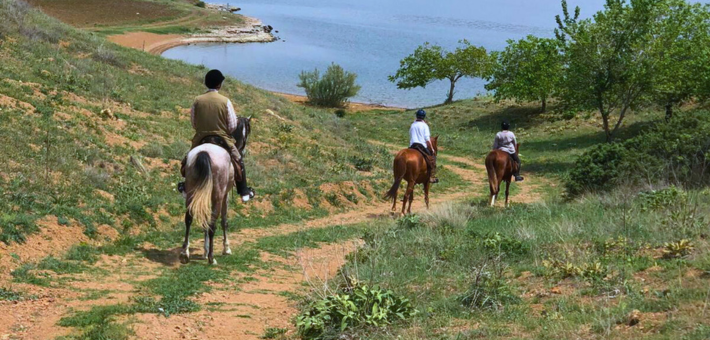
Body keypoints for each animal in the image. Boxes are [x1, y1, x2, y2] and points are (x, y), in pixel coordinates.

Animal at [179, 115, 252, 264]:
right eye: (247, 130)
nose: (243, 151)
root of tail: (204, 152)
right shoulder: (225, 196)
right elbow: (224, 221)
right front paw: (226, 249)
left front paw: (204, 251)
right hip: (218, 195)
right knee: (213, 223)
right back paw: (212, 258)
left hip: (192, 192)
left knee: (189, 218)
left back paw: (185, 253)